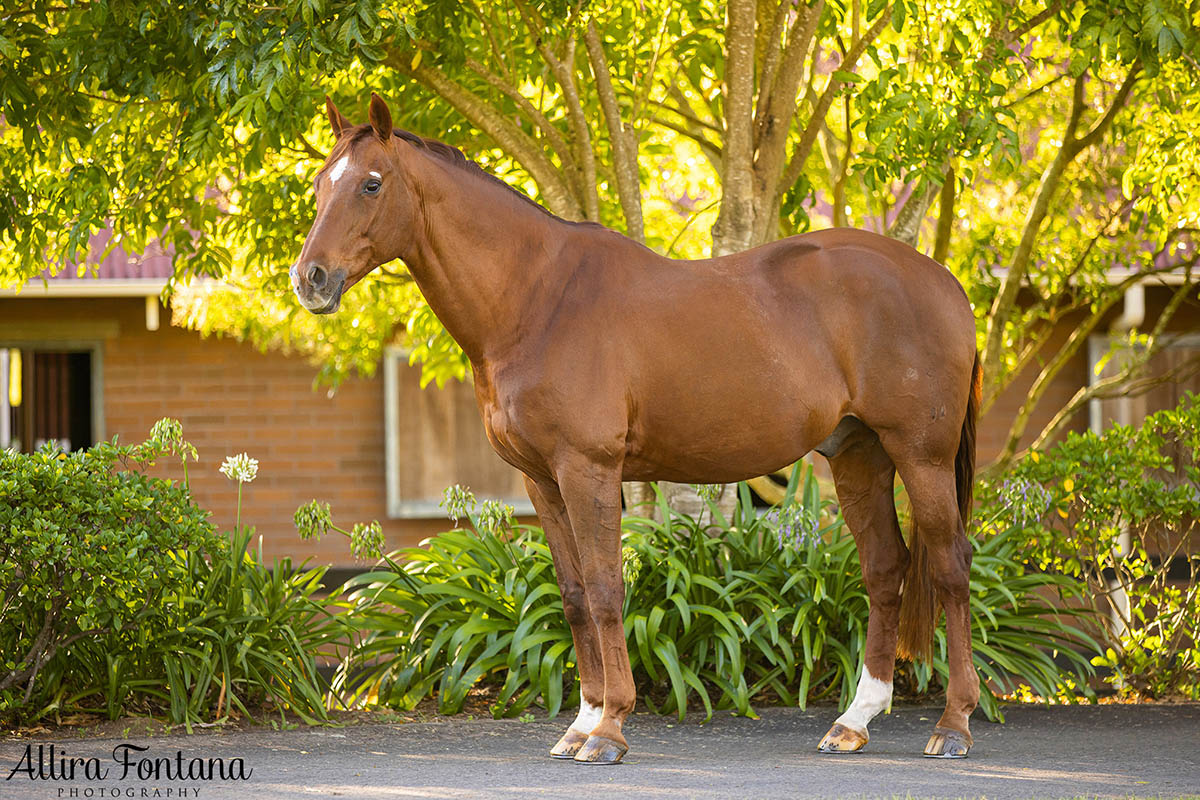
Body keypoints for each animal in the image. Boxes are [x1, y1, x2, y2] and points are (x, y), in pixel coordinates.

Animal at [292, 97, 984, 767]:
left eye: (372, 183)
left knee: (951, 567)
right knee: (885, 569)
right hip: (858, 452)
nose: (310, 279)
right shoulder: (542, 480)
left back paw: (953, 725)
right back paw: (853, 722)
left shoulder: (588, 469)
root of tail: (945, 281)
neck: (537, 300)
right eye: (322, 185)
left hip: (920, 456)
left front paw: (611, 729)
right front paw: (580, 724)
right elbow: (574, 594)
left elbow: (605, 589)